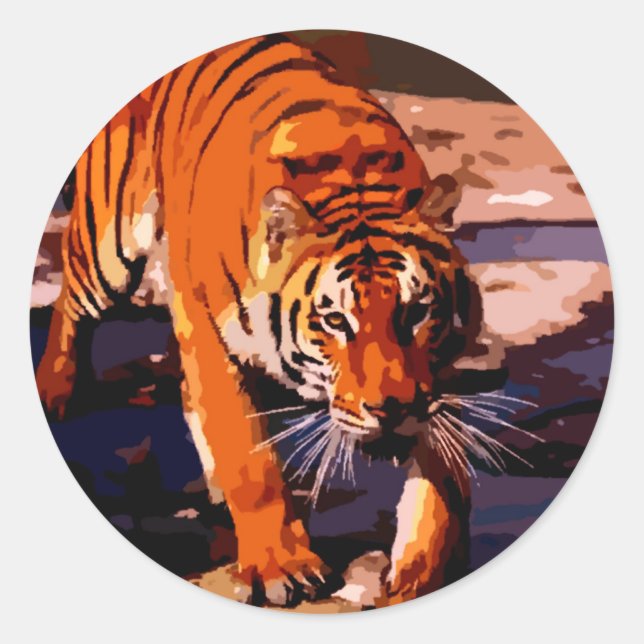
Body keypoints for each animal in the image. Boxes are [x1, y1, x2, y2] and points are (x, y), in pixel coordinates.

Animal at [35, 33, 476, 608]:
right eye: (336, 321)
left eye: (418, 311)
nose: (393, 408)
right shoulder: (210, 335)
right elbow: (250, 460)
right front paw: (281, 566)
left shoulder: (434, 374)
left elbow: (439, 477)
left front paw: (421, 573)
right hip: (106, 250)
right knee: (70, 304)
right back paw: (54, 391)